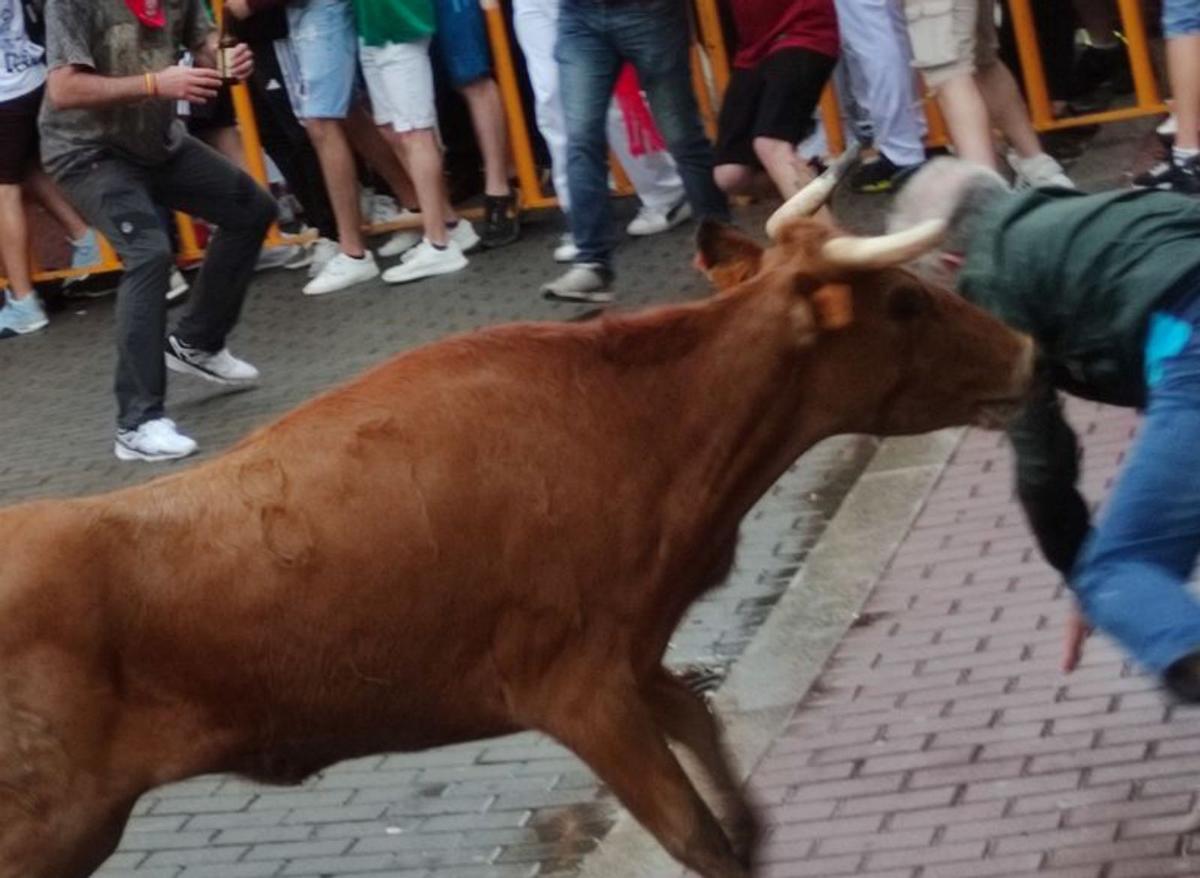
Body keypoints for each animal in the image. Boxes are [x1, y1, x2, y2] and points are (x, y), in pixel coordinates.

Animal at [0, 212, 1032, 878]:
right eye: (904, 301)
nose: (1026, 352)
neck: (646, 425)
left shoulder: (635, 655)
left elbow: (720, 765)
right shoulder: (577, 688)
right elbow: (698, 836)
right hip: (48, 832)